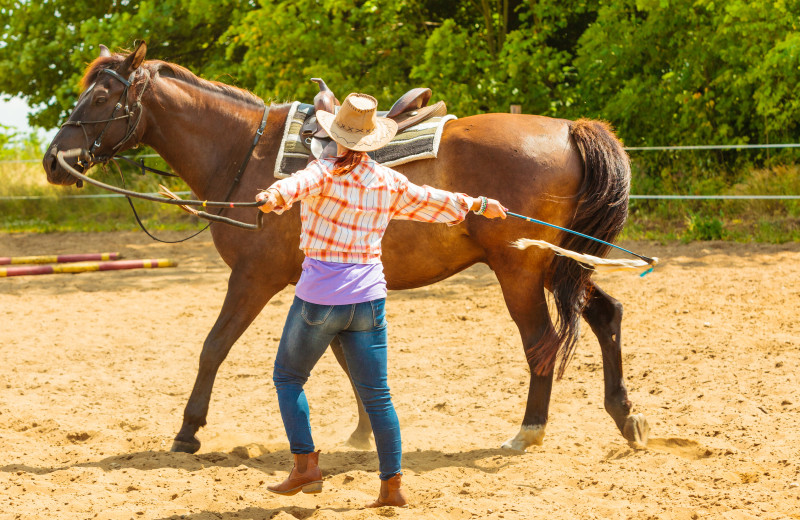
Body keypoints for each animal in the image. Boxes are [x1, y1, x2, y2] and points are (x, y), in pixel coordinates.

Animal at [42, 41, 648, 456]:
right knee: (607, 316)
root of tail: (569, 129)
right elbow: (345, 356)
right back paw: (626, 418)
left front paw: (188, 431)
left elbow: (214, 347)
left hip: (520, 269)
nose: (54, 160)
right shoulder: (325, 279)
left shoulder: (254, 278)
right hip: (560, 265)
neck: (243, 153)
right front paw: (362, 432)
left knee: (542, 342)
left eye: (101, 94)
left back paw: (529, 431)